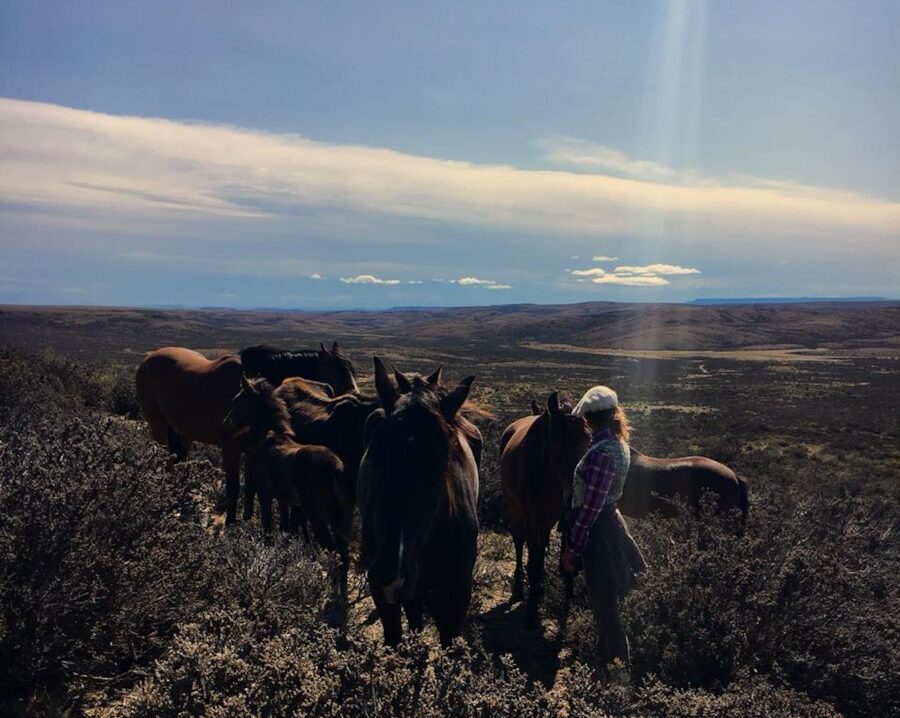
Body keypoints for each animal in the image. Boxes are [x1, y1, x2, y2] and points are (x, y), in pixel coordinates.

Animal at [221, 376, 352, 600]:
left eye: (237, 399)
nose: (225, 425)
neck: (270, 436)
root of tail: (334, 468)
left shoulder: (265, 495)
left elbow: (267, 528)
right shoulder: (285, 499)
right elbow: (285, 527)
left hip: (318, 517)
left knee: (333, 551)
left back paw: (332, 592)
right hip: (338, 518)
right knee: (343, 553)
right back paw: (341, 595)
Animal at [500, 390, 592, 628]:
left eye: (588, 439)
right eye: (554, 441)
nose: (574, 496)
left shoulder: (564, 520)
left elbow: (564, 565)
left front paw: (568, 603)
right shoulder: (533, 519)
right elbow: (535, 561)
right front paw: (532, 611)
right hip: (516, 510)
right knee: (519, 542)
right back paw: (520, 584)